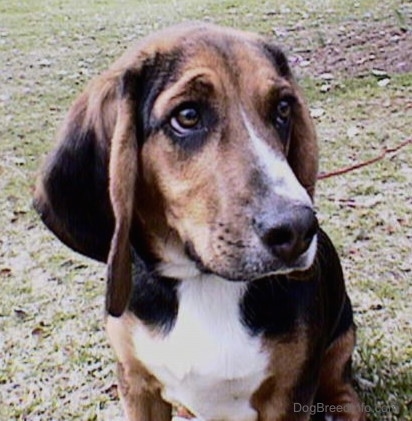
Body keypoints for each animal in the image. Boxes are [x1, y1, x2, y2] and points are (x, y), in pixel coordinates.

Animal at [33, 23, 366, 420]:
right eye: (188, 116)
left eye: (283, 108)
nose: (299, 230)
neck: (203, 281)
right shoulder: (136, 385)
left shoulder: (288, 394)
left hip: (341, 338)